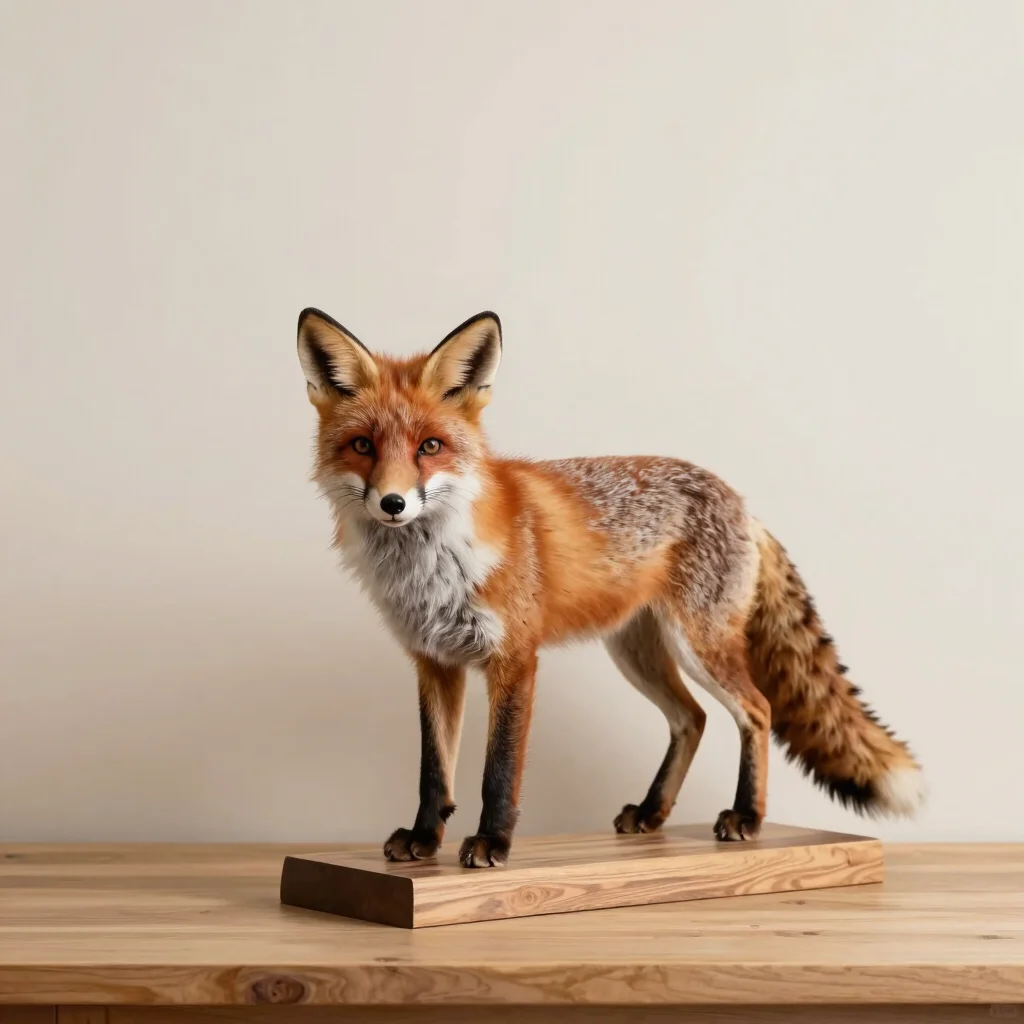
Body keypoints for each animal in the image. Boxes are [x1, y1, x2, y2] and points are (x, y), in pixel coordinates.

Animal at [296, 307, 925, 868]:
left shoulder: (514, 660)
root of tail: (742, 503)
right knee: (692, 719)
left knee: (757, 710)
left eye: (429, 447)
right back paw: (652, 813)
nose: (392, 503)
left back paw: (746, 815)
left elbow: (498, 770)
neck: (433, 568)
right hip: (635, 652)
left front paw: (493, 843)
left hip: (698, 647)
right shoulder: (434, 661)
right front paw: (425, 841)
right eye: (362, 446)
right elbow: (434, 771)